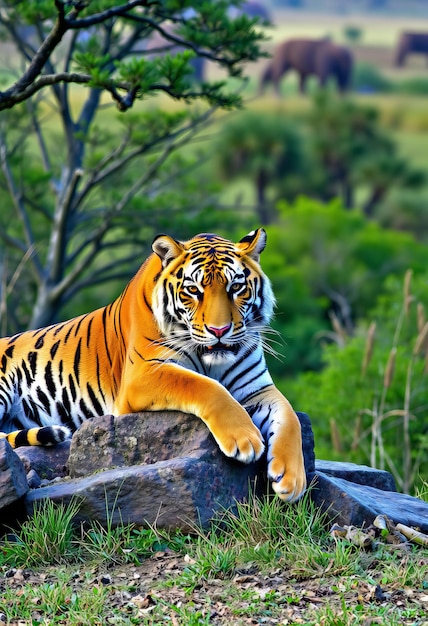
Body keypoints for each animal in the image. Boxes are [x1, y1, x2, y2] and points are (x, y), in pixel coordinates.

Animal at [0, 229, 308, 502]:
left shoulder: (256, 388)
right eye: (193, 290)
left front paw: (292, 480)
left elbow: (289, 416)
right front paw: (244, 439)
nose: (219, 330)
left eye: (236, 287)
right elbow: (206, 386)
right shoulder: (144, 373)